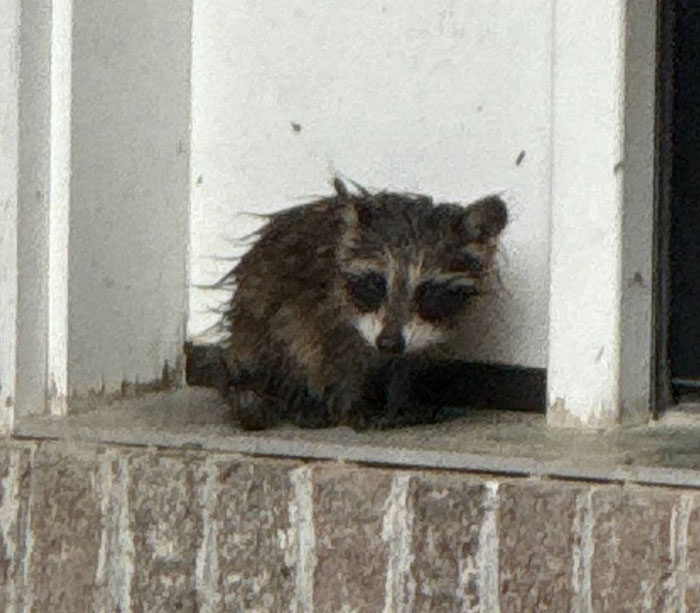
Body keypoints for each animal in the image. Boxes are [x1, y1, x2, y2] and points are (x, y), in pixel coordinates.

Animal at [220, 177, 508, 430]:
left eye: (427, 293)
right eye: (375, 284)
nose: (388, 344)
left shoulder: (420, 335)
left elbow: (404, 365)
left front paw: (400, 399)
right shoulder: (325, 311)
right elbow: (333, 360)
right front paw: (350, 404)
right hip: (258, 317)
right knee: (289, 340)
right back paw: (299, 400)